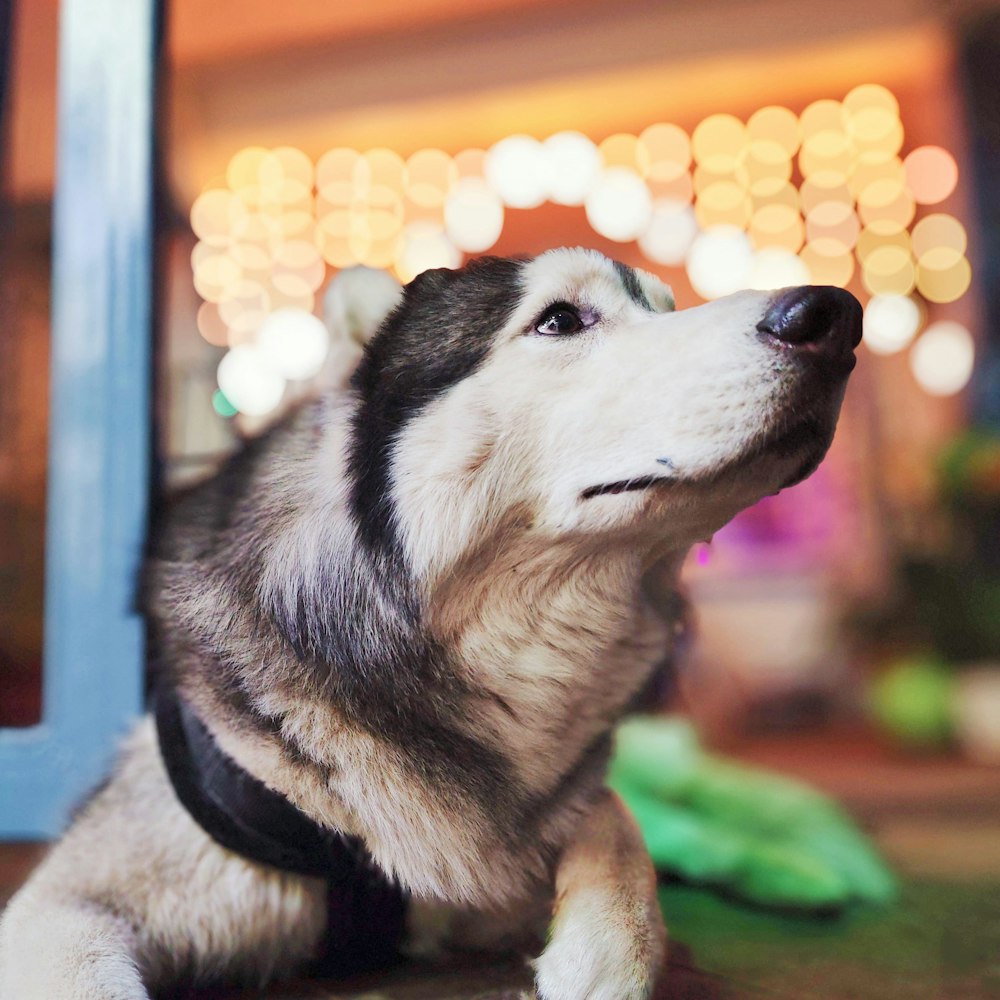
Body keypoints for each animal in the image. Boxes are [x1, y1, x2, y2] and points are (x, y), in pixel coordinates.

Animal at [0, 246, 860, 996]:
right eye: (560, 320)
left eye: (669, 308)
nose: (837, 315)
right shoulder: (67, 905)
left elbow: (609, 816)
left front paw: (611, 947)